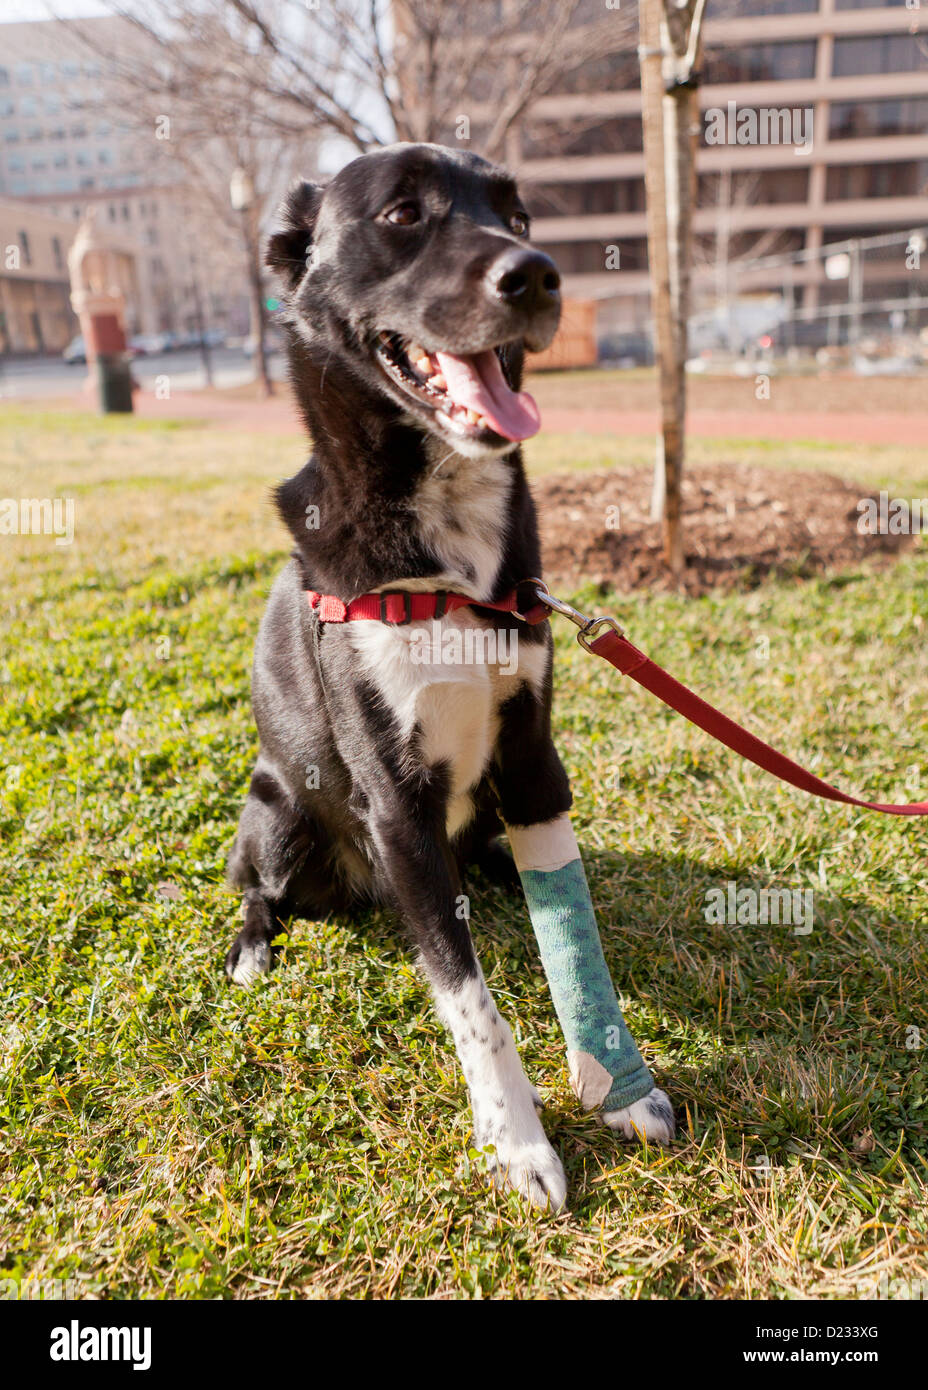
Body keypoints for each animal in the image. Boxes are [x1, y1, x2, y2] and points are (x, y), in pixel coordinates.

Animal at [225, 141, 675, 1206]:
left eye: (518, 213)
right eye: (402, 214)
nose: (538, 274)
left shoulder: (535, 761)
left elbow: (573, 934)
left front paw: (617, 1080)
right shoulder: (399, 804)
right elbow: (474, 1002)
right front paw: (519, 1140)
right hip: (279, 817)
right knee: (257, 891)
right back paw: (254, 953)